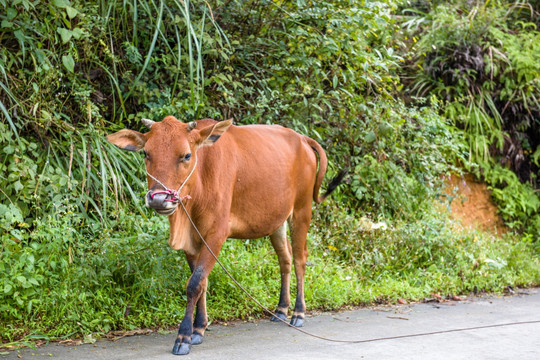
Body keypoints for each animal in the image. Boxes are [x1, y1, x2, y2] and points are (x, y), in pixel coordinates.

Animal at [106, 116, 342, 354]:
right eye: (146, 153)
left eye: (187, 155)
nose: (159, 199)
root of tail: (302, 139)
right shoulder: (192, 241)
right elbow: (201, 283)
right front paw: (198, 329)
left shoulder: (216, 235)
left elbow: (194, 283)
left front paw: (184, 336)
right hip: (277, 220)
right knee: (284, 259)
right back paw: (281, 310)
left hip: (301, 211)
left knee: (300, 259)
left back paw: (298, 312)